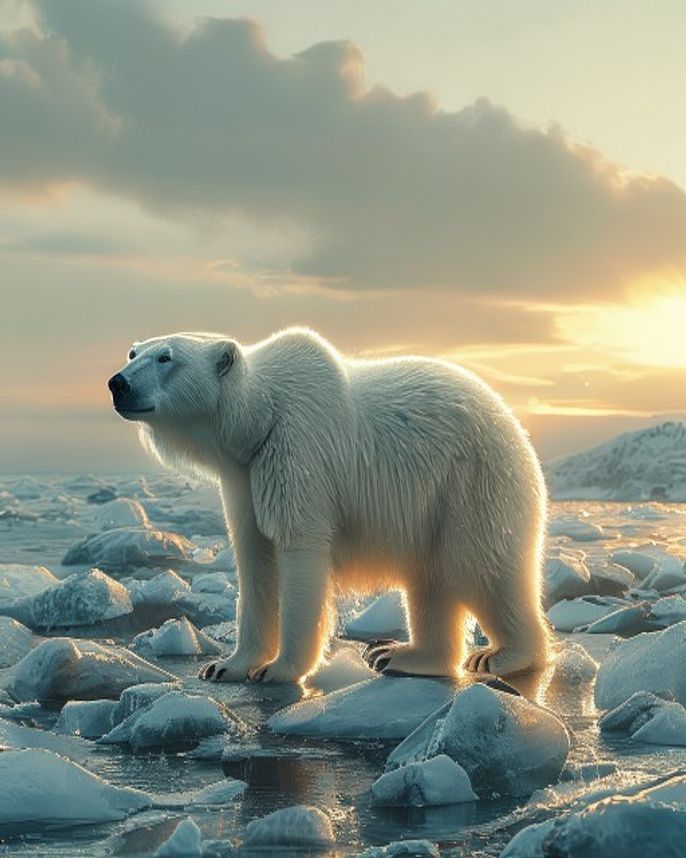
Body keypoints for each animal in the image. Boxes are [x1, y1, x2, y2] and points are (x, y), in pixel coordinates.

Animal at [108, 327, 549, 682]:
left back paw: (501, 656)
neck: (261, 416)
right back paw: (399, 655)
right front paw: (224, 666)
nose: (118, 383)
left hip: (473, 482)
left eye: (166, 357)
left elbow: (299, 551)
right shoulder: (244, 475)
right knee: (432, 578)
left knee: (478, 567)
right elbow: (254, 559)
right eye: (133, 352)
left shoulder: (299, 450)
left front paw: (277, 670)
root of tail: (517, 429)